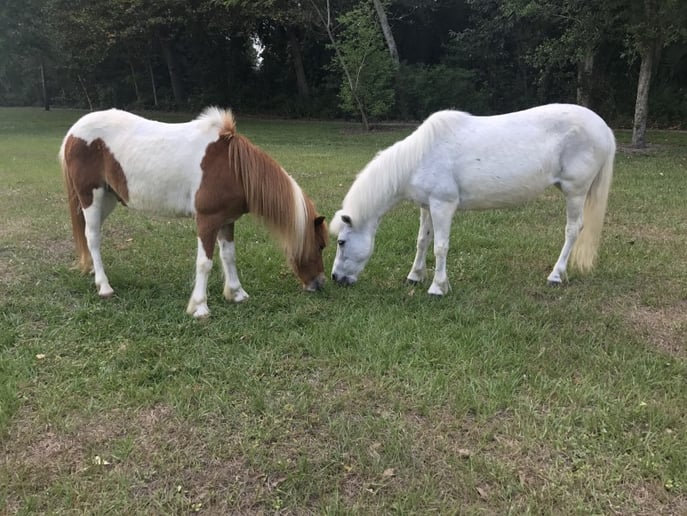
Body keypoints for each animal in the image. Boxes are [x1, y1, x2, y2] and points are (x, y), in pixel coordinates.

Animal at [59, 107, 327, 318]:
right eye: (321, 245)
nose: (320, 284)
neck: (233, 167)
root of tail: (73, 133)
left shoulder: (226, 221)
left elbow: (229, 256)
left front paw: (236, 294)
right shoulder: (207, 221)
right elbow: (205, 263)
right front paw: (199, 307)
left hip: (107, 199)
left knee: (88, 234)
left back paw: (93, 271)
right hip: (91, 197)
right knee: (93, 237)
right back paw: (104, 286)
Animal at [330, 103, 615, 295]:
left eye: (341, 242)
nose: (335, 278)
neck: (420, 156)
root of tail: (604, 128)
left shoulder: (443, 205)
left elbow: (440, 246)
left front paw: (437, 287)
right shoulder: (427, 205)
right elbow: (422, 241)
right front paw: (414, 276)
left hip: (575, 192)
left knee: (573, 230)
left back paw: (556, 275)